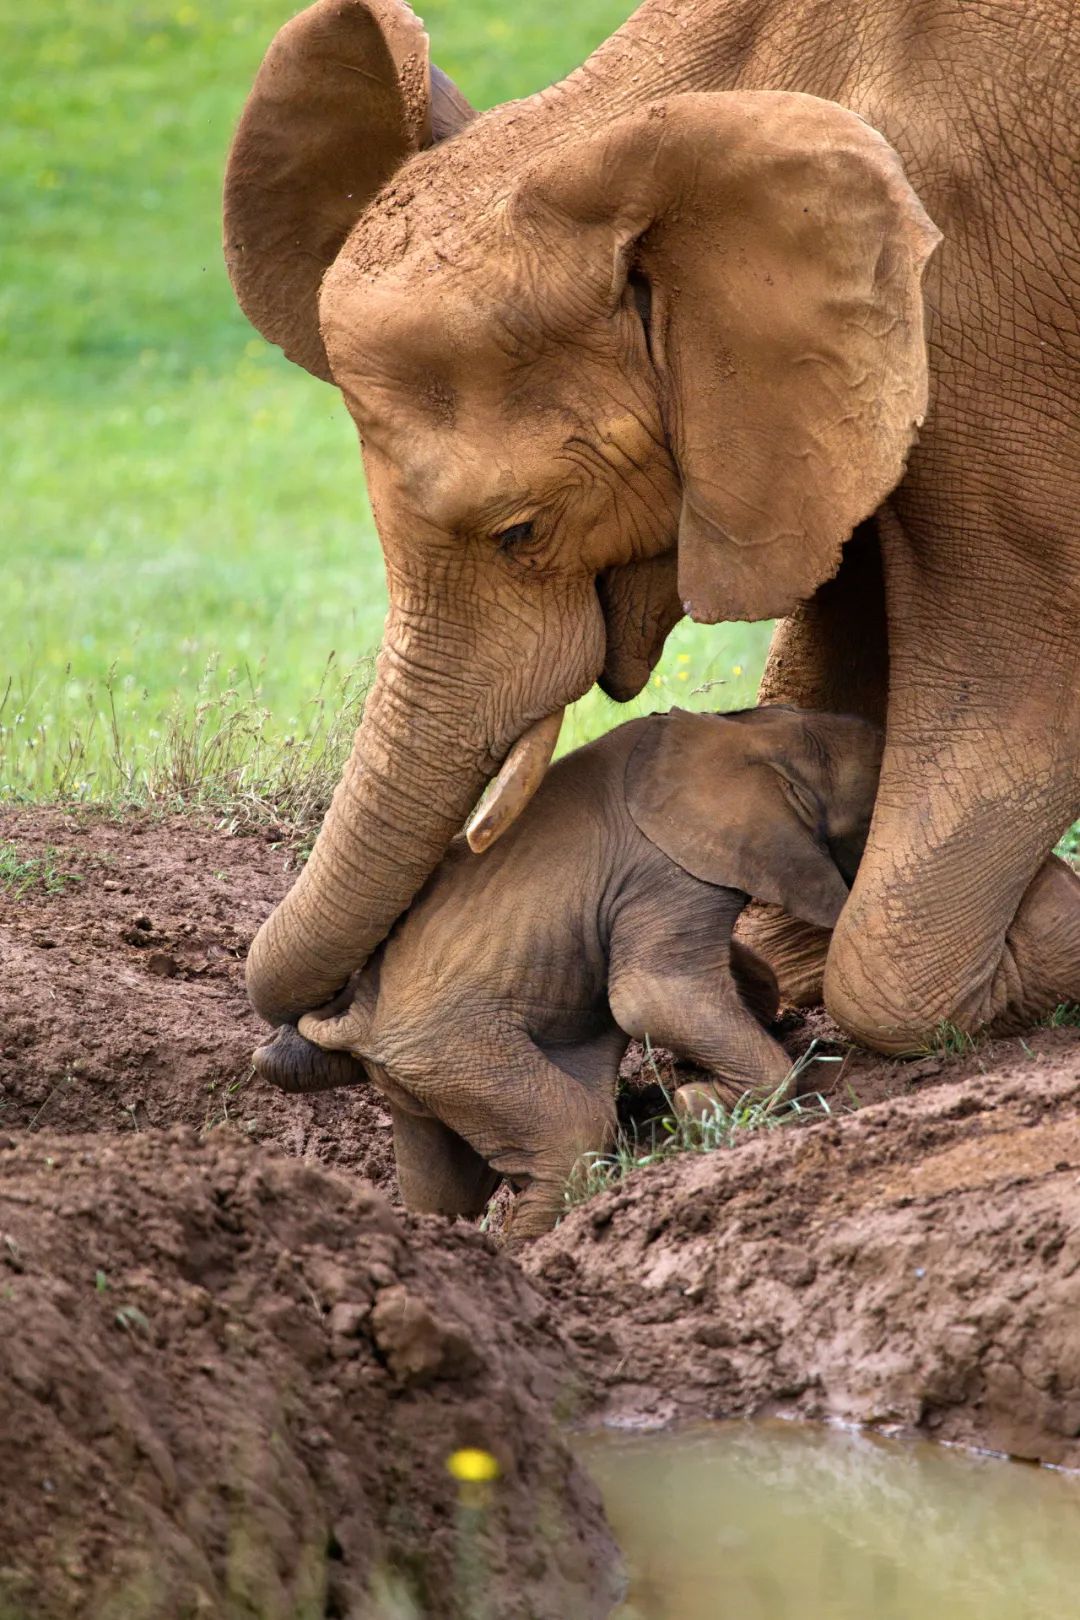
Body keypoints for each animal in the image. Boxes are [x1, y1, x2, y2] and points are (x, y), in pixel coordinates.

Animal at [257, 706, 880, 1237]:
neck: (753, 732)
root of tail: (357, 1021)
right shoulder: (666, 870)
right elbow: (650, 997)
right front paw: (695, 1106)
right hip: (451, 1048)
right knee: (573, 1139)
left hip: (417, 1073)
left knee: (444, 1187)